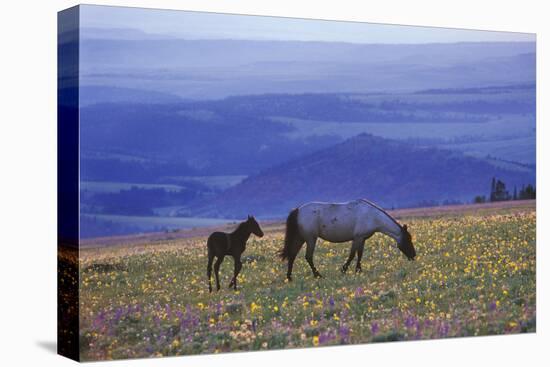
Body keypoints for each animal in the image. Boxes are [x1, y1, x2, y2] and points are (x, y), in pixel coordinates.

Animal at [282, 198, 416, 282]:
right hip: (310, 239)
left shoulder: (362, 239)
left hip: (301, 238)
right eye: (408, 240)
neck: (372, 216)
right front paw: (344, 269)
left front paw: (358, 270)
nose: (413, 256)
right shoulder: (357, 238)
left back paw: (289, 277)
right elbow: (352, 255)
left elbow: (359, 254)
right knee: (308, 256)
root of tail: (297, 210)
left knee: (292, 255)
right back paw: (318, 275)